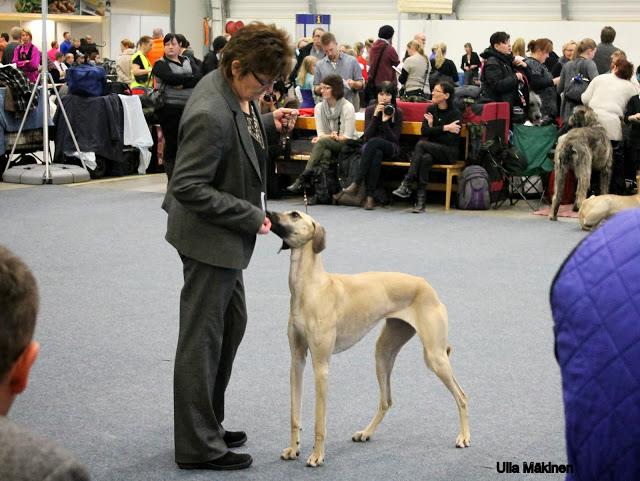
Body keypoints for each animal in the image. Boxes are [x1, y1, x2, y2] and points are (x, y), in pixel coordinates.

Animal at [264, 210, 470, 464]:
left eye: (294, 214)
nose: (268, 213)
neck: (311, 287)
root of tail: (427, 286)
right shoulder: (297, 360)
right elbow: (295, 413)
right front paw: (294, 449)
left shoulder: (321, 366)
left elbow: (320, 421)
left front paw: (317, 455)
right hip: (384, 352)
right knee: (386, 400)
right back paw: (366, 432)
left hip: (435, 356)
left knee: (462, 396)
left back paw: (464, 437)